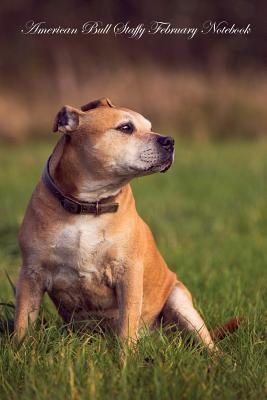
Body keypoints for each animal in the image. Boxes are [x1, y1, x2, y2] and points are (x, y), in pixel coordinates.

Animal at [14, 97, 241, 350]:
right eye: (126, 128)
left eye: (149, 127)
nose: (169, 141)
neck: (89, 205)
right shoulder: (31, 274)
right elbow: (22, 322)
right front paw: (17, 351)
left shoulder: (128, 273)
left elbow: (127, 324)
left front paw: (125, 356)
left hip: (179, 301)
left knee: (206, 342)